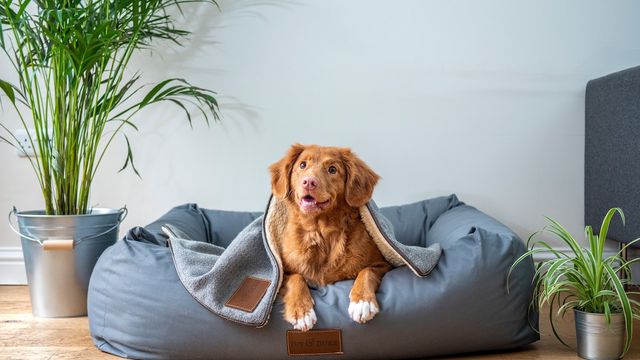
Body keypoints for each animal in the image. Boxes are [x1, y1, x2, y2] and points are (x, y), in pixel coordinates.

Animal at [268, 143, 392, 332]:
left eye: (332, 169)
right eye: (302, 165)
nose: (309, 182)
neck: (320, 231)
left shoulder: (383, 264)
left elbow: (367, 271)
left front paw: (362, 302)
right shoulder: (283, 272)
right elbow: (296, 278)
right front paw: (302, 311)